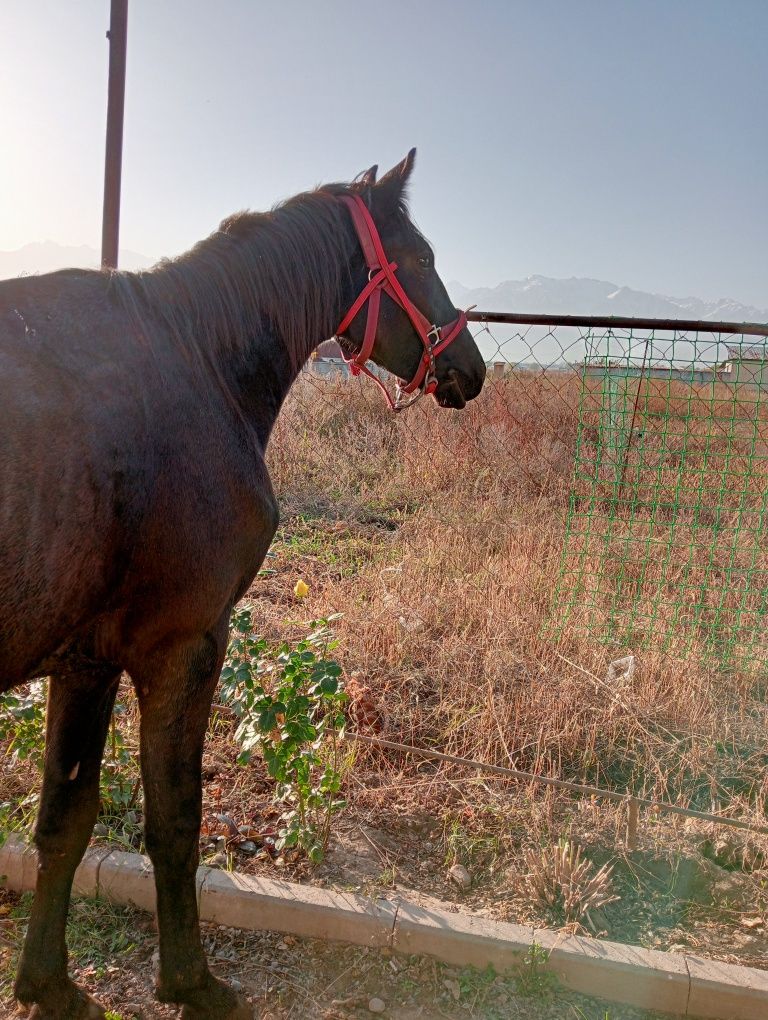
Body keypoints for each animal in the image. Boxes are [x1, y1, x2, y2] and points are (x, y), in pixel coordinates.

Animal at [0, 153, 481, 1020]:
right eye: (422, 257)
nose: (473, 369)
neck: (196, 359)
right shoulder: (183, 646)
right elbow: (175, 822)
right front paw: (191, 981)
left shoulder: (85, 660)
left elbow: (64, 821)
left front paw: (48, 984)